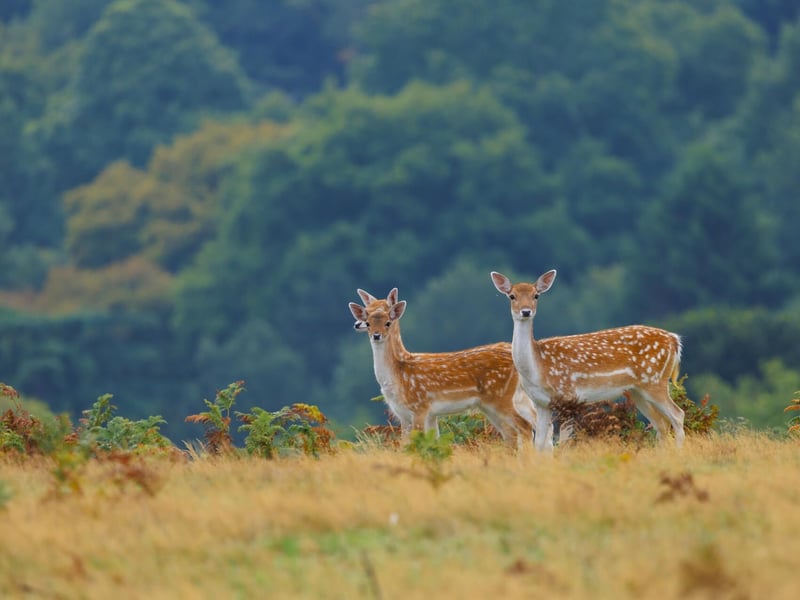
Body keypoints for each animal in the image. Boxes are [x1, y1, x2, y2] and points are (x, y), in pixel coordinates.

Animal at [349, 288, 537, 448]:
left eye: (388, 322)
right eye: (368, 318)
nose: (375, 335)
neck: (398, 375)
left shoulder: (420, 407)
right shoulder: (405, 414)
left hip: (501, 398)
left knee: (525, 426)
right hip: (495, 404)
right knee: (514, 432)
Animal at [490, 269, 685, 453]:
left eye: (536, 295)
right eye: (512, 296)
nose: (525, 311)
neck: (538, 368)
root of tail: (674, 340)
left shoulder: (568, 398)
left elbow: (564, 442)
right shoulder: (541, 403)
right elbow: (539, 444)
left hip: (655, 381)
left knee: (677, 415)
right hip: (637, 390)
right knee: (661, 423)